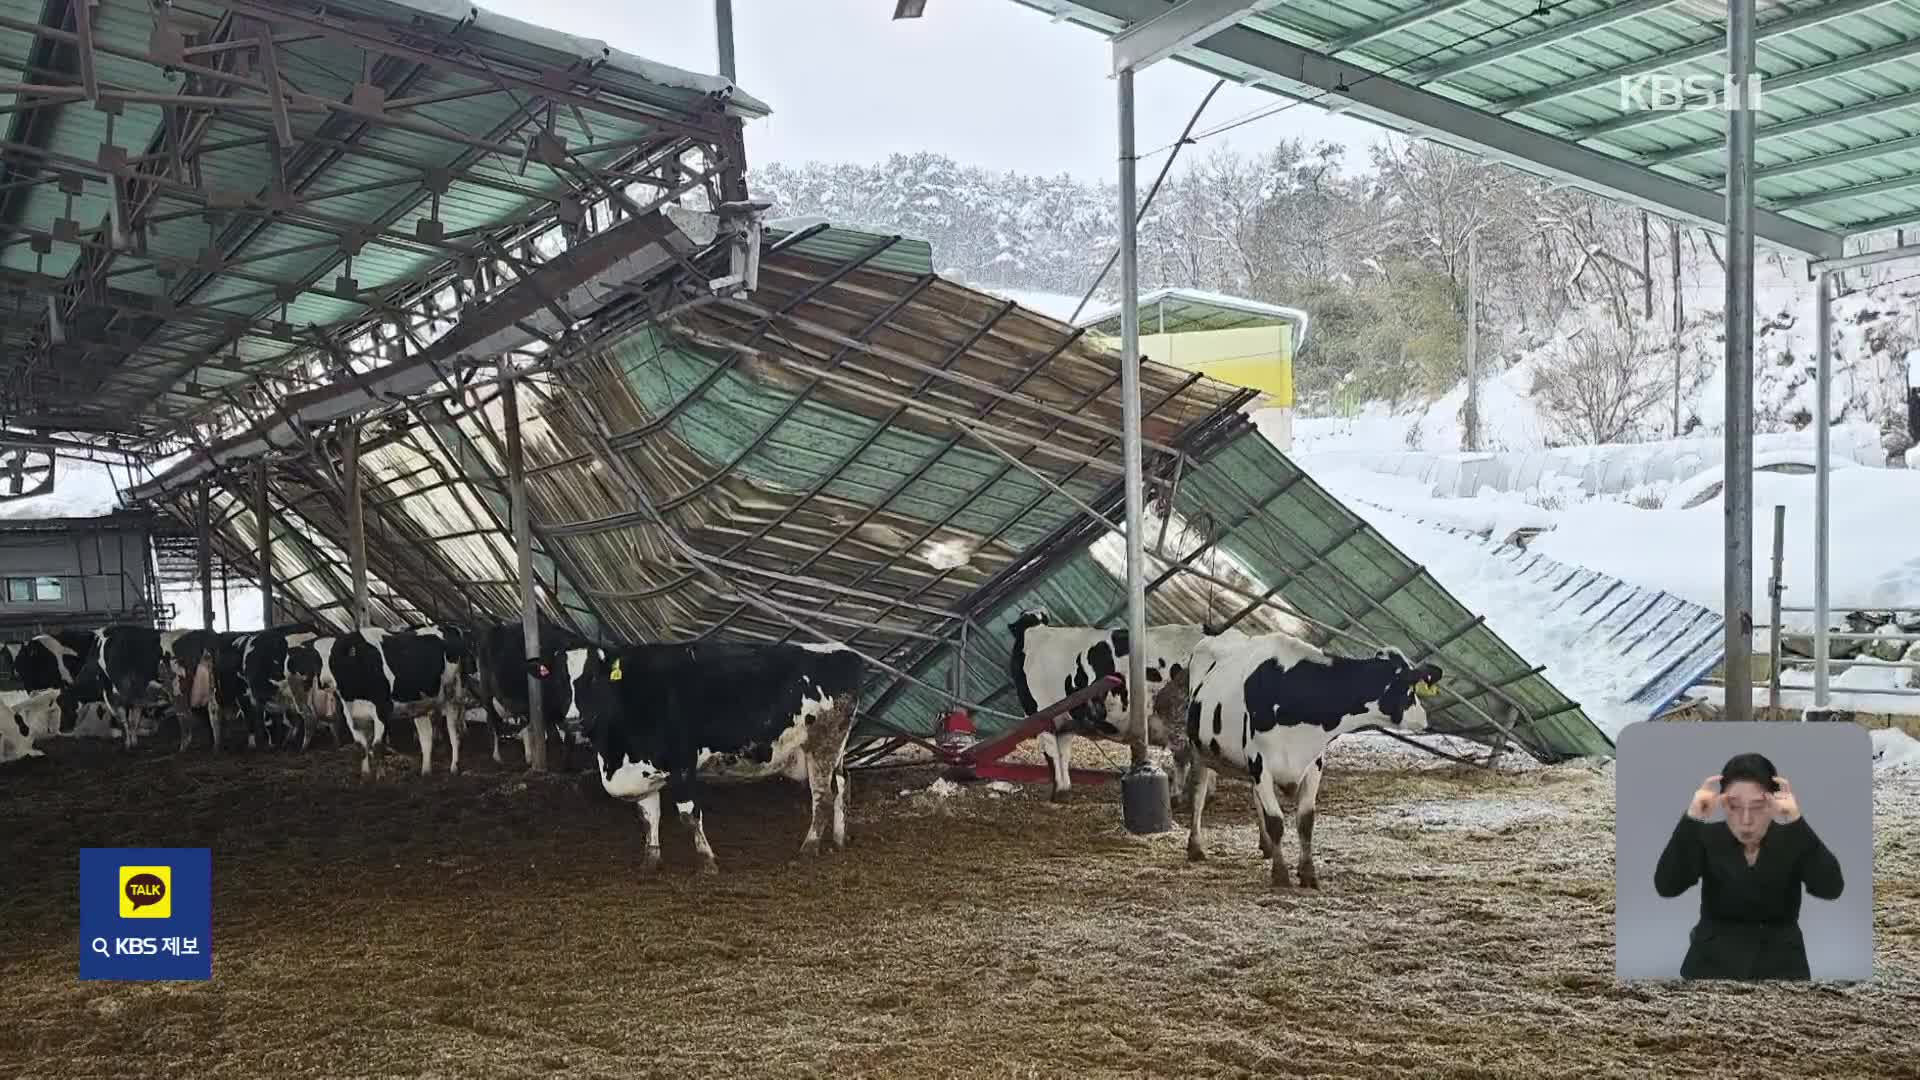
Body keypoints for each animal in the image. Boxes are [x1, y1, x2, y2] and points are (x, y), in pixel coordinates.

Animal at [289, 622, 474, 772]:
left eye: (336, 657)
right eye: (316, 660)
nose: (325, 683)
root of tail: (448, 627)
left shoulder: (382, 709)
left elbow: (377, 747)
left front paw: (380, 779)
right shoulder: (352, 714)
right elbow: (361, 747)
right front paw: (365, 777)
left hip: (453, 695)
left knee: (454, 730)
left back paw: (454, 766)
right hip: (419, 703)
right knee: (426, 737)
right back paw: (425, 771)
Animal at [579, 638, 860, 876]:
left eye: (592, 678)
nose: (577, 721)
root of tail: (842, 650)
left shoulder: (682, 764)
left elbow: (689, 815)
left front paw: (707, 863)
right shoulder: (643, 768)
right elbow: (649, 816)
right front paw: (650, 862)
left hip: (823, 745)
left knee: (823, 797)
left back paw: (808, 849)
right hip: (833, 752)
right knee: (842, 784)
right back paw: (838, 840)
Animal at [1013, 607, 1236, 799]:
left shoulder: (1041, 715)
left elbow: (1052, 754)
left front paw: (1058, 791)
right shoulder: (1065, 720)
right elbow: (1063, 752)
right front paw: (1064, 789)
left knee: (1183, 754)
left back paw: (1179, 795)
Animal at [1182, 626, 1443, 887]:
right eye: (1410, 689)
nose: (1424, 719)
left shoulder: (1314, 763)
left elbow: (1305, 821)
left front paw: (1307, 873)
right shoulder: (1260, 762)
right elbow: (1276, 821)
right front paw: (1281, 874)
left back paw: (1266, 846)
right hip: (1199, 750)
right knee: (1199, 794)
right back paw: (1196, 847)